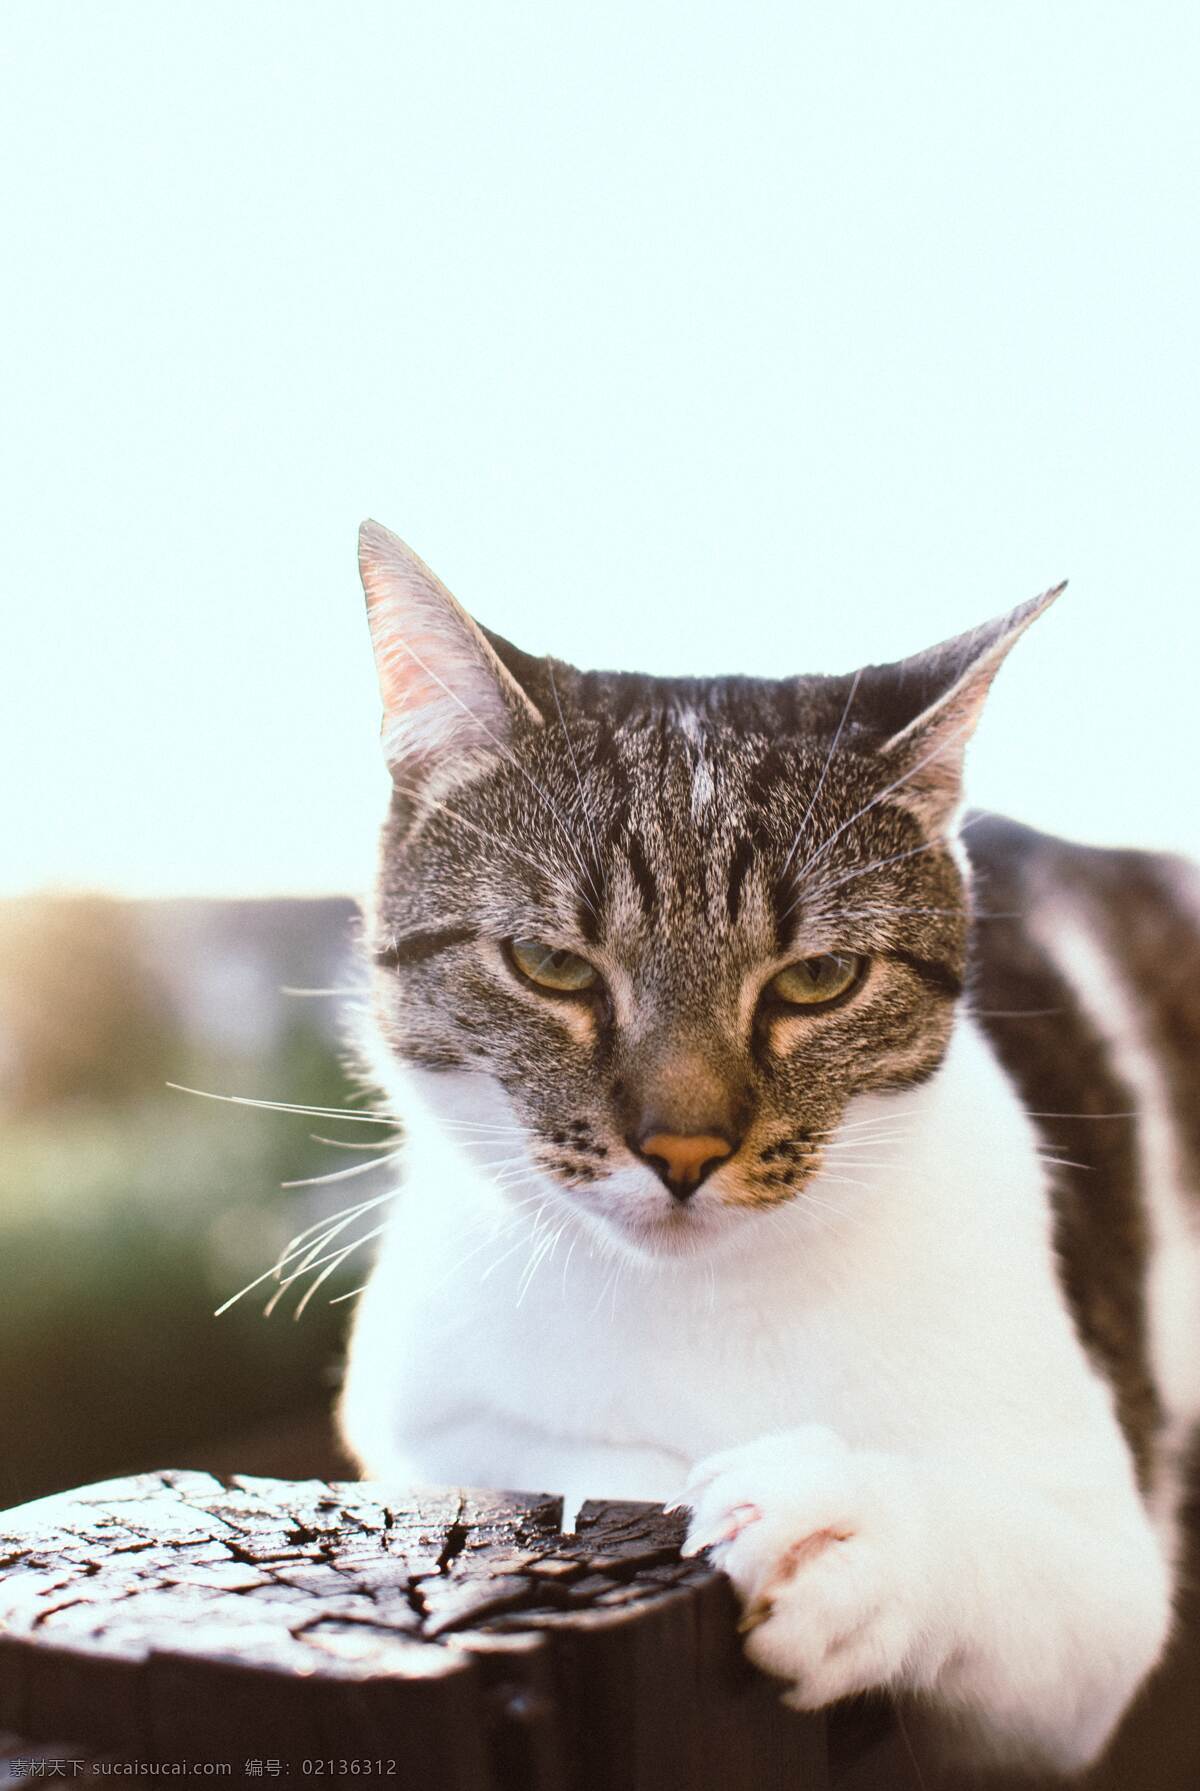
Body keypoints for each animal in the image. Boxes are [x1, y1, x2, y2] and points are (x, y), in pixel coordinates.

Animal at [336, 522, 1200, 1776]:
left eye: (818, 979)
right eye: (552, 966)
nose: (683, 1148)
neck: (706, 1309)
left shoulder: (1103, 1575)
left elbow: (1033, 1579)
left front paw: (844, 1534)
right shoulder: (414, 1414)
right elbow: (555, 1459)